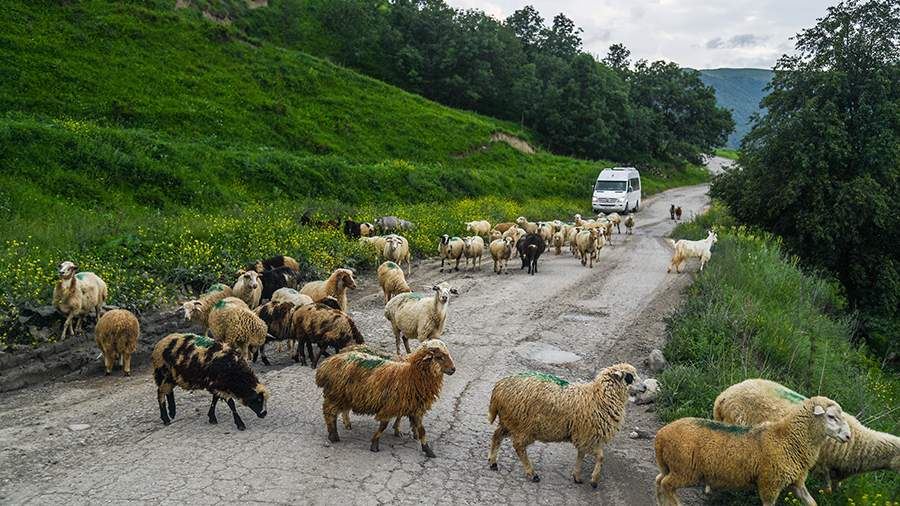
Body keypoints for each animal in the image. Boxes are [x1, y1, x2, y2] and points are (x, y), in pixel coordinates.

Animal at [486, 364, 640, 486]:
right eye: (630, 377)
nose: (643, 387)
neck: (599, 397)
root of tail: (498, 389)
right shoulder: (587, 436)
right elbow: (600, 456)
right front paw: (594, 480)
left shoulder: (583, 436)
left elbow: (581, 455)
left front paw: (577, 476)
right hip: (523, 426)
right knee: (518, 447)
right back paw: (532, 473)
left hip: (509, 421)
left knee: (497, 435)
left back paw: (493, 462)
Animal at [652, 396, 852, 506]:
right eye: (831, 417)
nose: (849, 436)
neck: (788, 438)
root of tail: (661, 435)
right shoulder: (770, 484)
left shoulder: (797, 483)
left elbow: (812, 503)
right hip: (685, 470)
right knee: (666, 485)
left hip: (670, 467)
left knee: (659, 481)